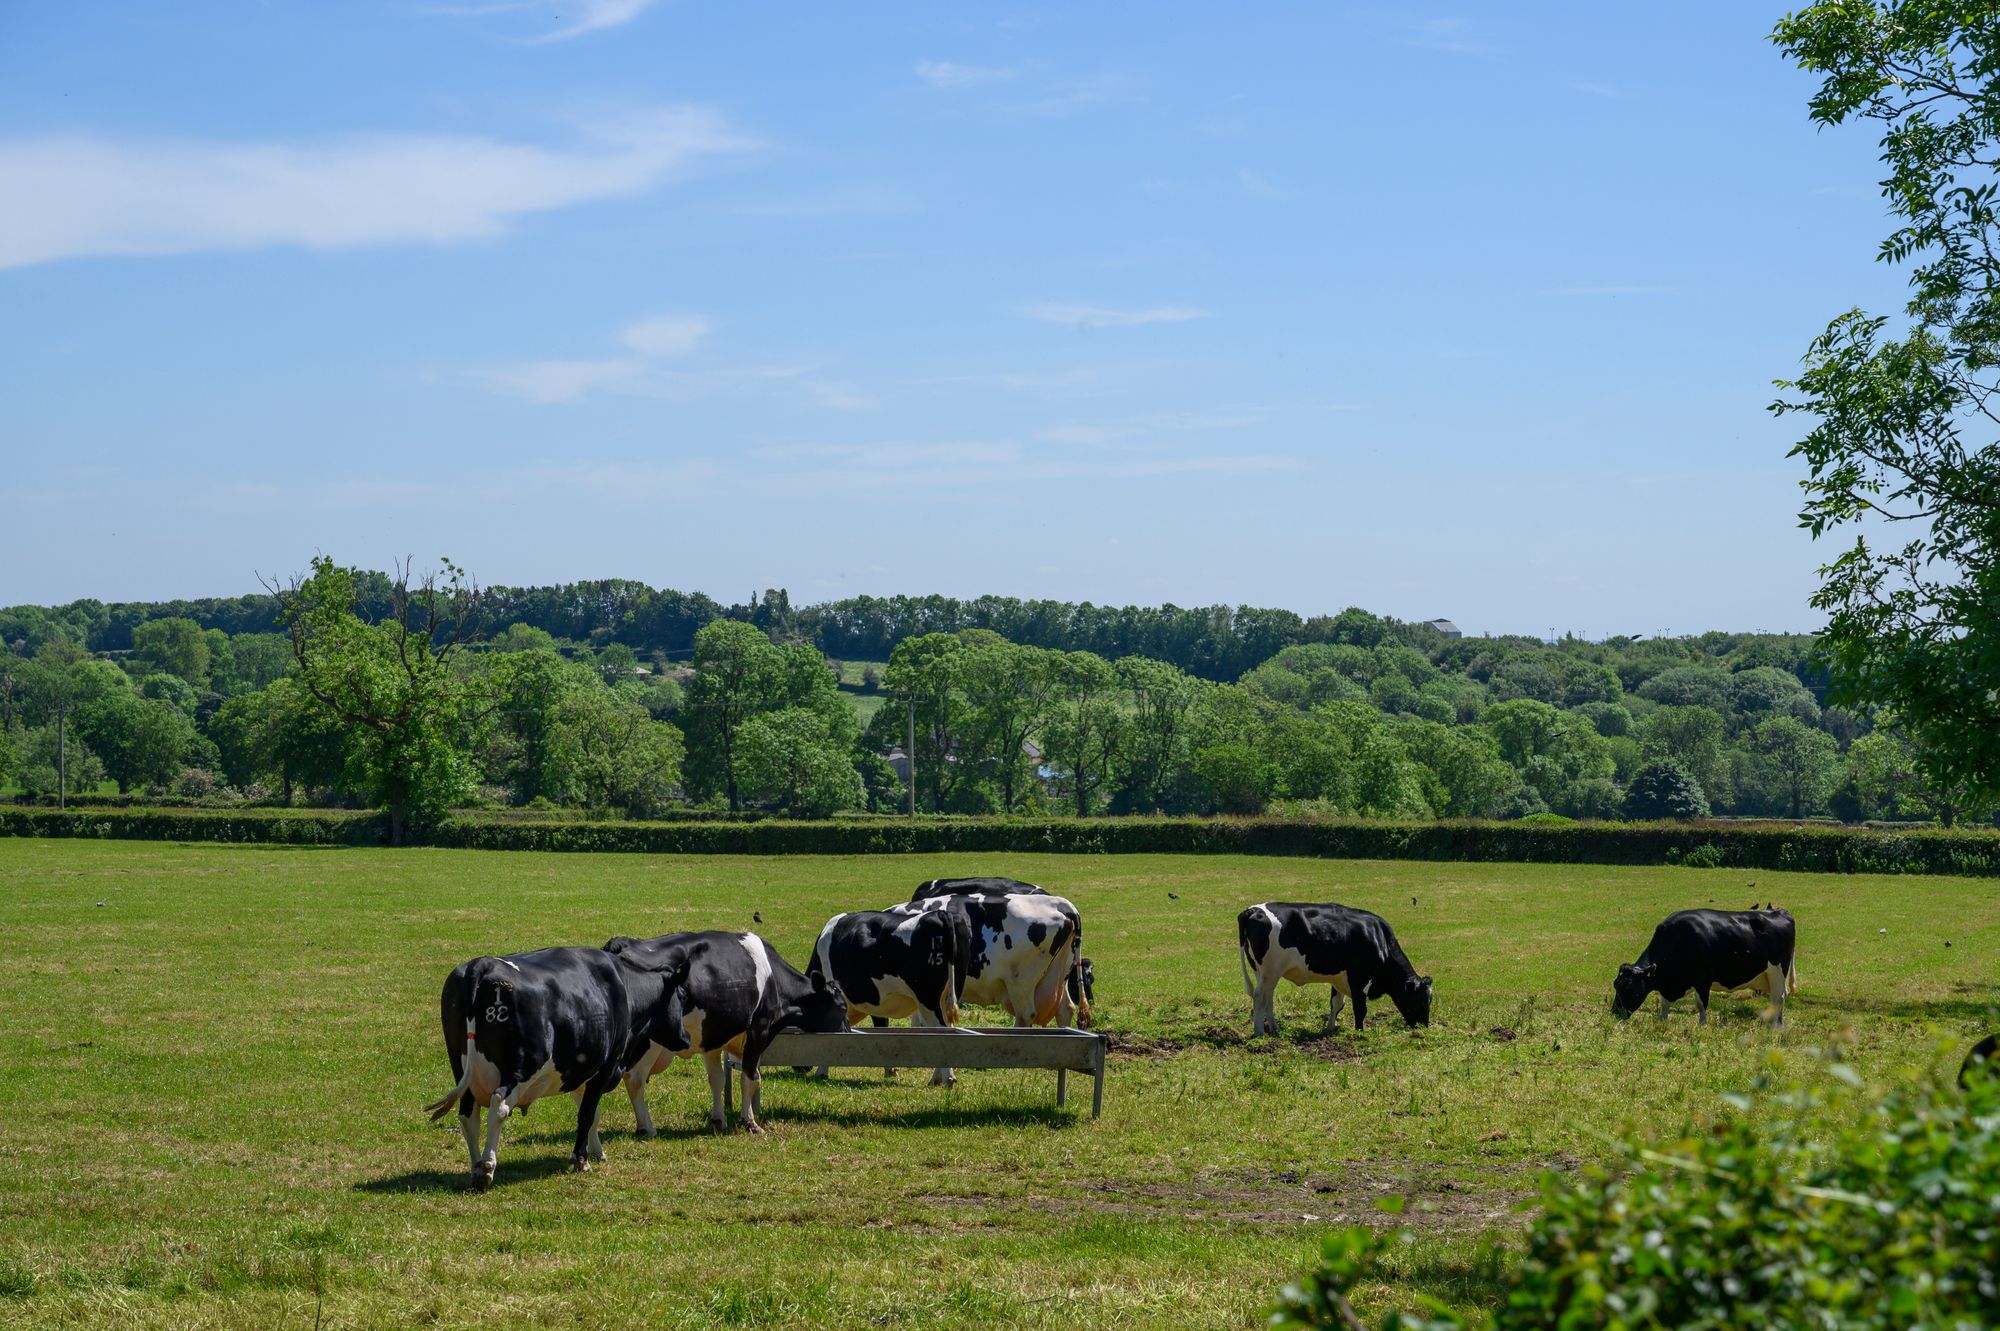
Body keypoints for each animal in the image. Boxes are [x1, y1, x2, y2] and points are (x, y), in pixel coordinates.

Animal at [422, 939, 696, 1183]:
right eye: (682, 996)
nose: (686, 1038)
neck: (623, 986)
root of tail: (482, 964)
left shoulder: (577, 1071)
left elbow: (592, 1113)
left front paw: (595, 1151)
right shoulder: (606, 1066)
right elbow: (587, 1113)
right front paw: (581, 1160)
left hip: (463, 1070)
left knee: (468, 1116)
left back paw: (475, 1166)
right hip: (523, 1066)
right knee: (499, 1106)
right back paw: (487, 1168)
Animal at [592, 927, 844, 1135]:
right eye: (842, 1006)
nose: (844, 1030)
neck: (774, 980)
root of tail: (620, 944)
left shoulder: (712, 1038)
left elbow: (717, 1079)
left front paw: (718, 1120)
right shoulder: (759, 1032)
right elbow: (751, 1079)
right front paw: (750, 1123)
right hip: (650, 1043)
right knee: (634, 1079)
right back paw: (647, 1128)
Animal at [1240, 895, 1432, 1031]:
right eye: (1423, 1001)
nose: (1424, 1027)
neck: (1379, 939)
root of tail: (1253, 910)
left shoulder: (1339, 978)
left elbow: (1336, 1004)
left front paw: (1330, 1028)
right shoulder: (1359, 978)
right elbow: (1359, 1008)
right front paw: (1359, 1031)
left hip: (1263, 972)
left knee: (1268, 997)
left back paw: (1275, 1029)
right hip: (1270, 971)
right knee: (1259, 996)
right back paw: (1259, 1032)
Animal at [1608, 907, 1800, 1019]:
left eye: (1628, 985)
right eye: (1616, 984)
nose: (1615, 1012)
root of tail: (1779, 911)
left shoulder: (1703, 980)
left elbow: (1701, 1006)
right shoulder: (1666, 982)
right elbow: (1663, 1006)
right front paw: (1661, 1023)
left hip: (1777, 970)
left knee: (1779, 998)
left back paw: (1776, 1026)